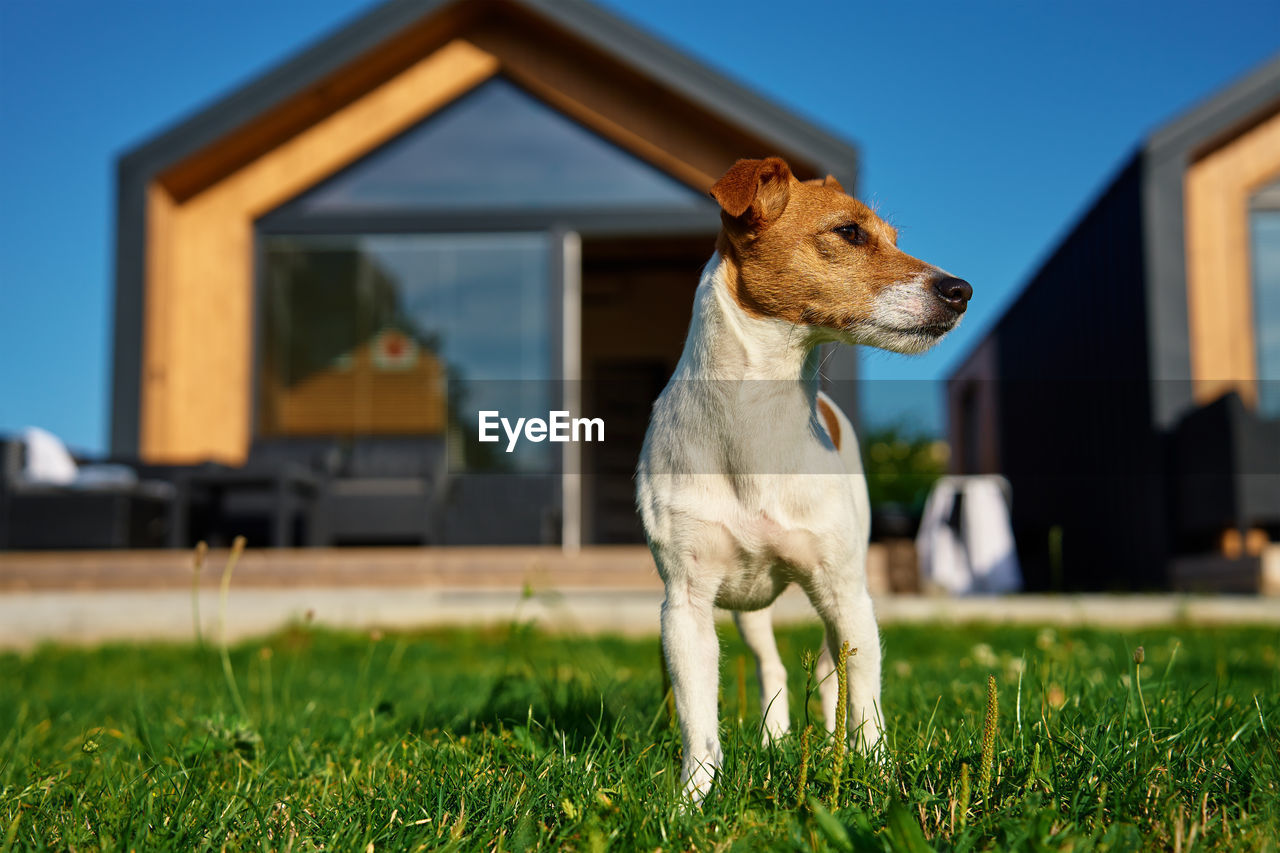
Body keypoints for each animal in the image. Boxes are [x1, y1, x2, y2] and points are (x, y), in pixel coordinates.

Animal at [629, 154, 967, 799]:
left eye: (893, 238)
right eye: (850, 232)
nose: (961, 290)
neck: (757, 418)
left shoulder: (846, 592)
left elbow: (866, 702)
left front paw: (875, 773)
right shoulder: (685, 605)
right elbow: (698, 719)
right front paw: (692, 800)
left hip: (839, 593)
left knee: (833, 669)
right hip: (746, 608)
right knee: (773, 666)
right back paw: (776, 739)